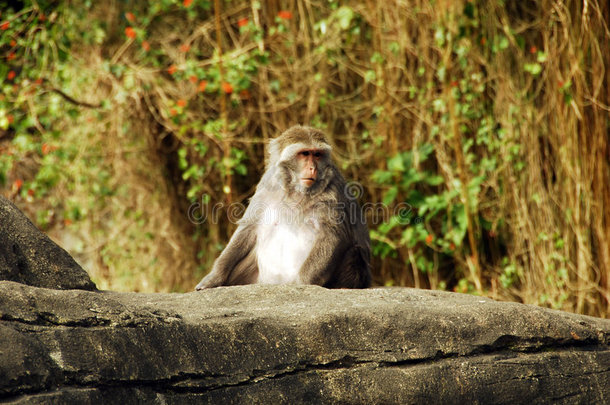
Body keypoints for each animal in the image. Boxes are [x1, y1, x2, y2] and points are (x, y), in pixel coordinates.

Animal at [195, 124, 368, 288]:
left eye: (317, 154)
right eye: (305, 154)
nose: (313, 168)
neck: (296, 190)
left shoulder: (332, 191)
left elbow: (332, 235)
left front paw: (300, 285)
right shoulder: (267, 183)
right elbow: (249, 228)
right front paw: (214, 277)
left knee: (355, 252)